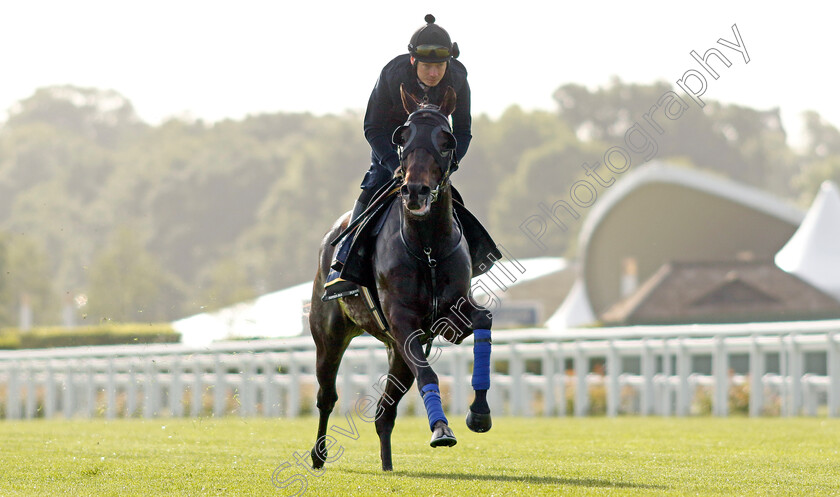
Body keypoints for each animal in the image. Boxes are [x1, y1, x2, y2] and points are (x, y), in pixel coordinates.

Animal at [306, 85, 492, 468]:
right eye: (402, 137)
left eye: (446, 140)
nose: (415, 190)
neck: (427, 247)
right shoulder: (403, 321)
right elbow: (428, 372)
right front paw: (441, 429)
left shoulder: (451, 313)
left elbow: (485, 320)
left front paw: (479, 414)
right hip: (329, 335)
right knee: (327, 396)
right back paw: (318, 455)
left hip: (395, 352)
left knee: (383, 413)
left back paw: (388, 465)